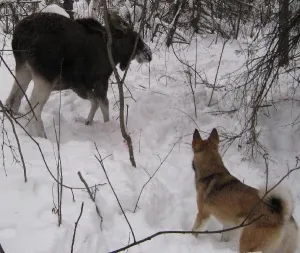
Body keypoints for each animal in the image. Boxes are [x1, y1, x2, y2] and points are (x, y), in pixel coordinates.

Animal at [5, 11, 152, 138]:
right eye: (137, 38)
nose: (149, 54)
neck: (114, 53)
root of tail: (19, 35)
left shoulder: (79, 86)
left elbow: (95, 102)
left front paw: (88, 122)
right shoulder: (100, 81)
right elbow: (104, 105)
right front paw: (107, 126)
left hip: (23, 69)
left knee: (12, 100)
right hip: (45, 79)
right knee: (32, 108)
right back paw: (42, 137)